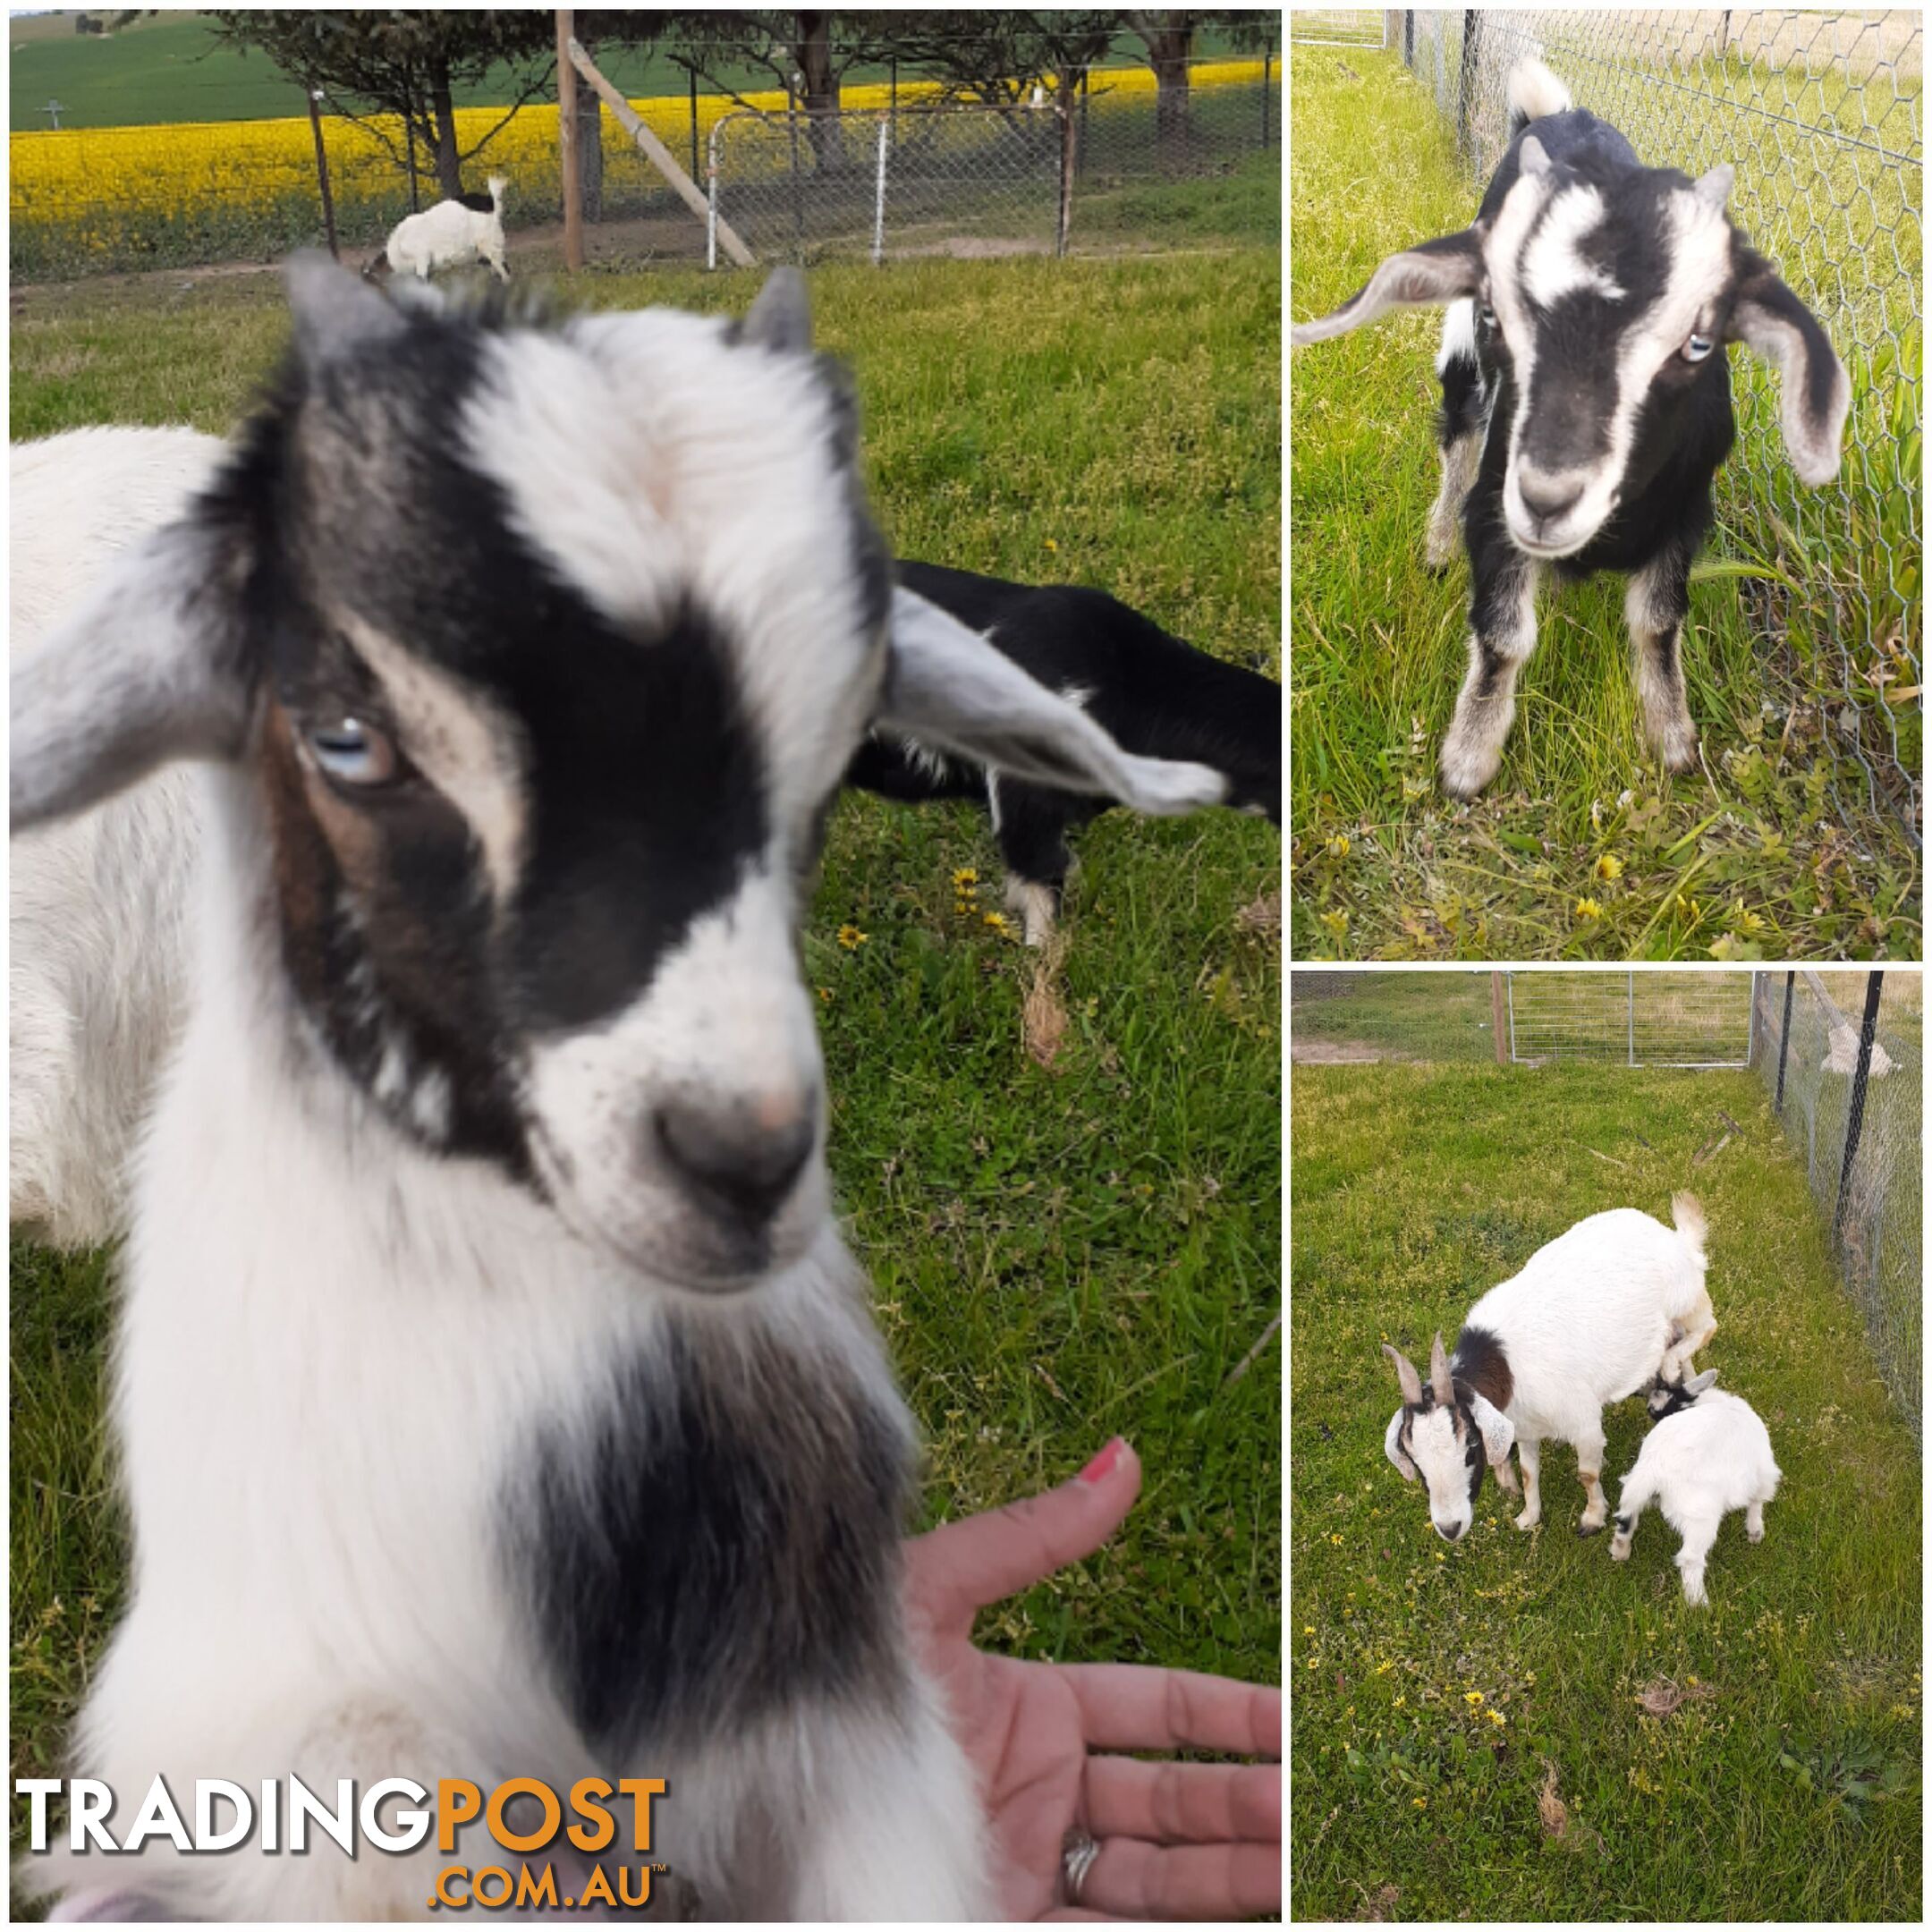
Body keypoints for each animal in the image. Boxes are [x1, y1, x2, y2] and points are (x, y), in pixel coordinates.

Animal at [1383, 1190, 1716, 1538]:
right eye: (1414, 1459)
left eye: (1471, 1446)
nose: (1450, 1527)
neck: (1505, 1365)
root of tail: (1678, 1240)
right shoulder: (1525, 1428)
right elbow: (1529, 1472)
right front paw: (1528, 1517)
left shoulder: (1583, 1422)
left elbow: (1587, 1473)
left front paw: (1592, 1519)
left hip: (1688, 1301)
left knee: (1707, 1327)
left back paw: (1670, 1367)